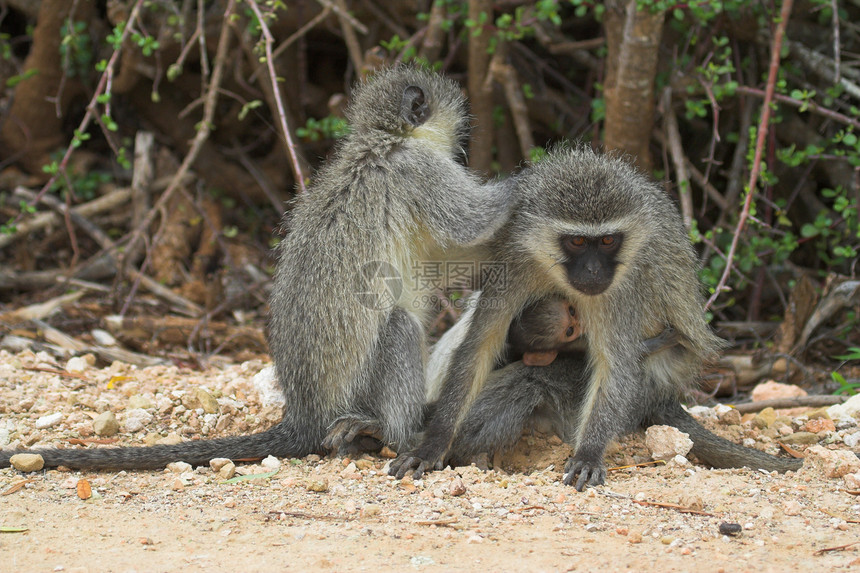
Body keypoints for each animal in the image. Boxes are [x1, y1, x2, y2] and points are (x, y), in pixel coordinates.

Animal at [0, 65, 510, 472]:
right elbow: (473, 222)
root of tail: (304, 415)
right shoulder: (419, 170)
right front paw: (525, 183)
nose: (466, 138)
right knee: (400, 326)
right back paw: (394, 433)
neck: (384, 139)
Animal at [390, 146, 800, 488]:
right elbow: (479, 346)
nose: (592, 272)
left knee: (532, 378)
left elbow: (615, 364)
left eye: (606, 241)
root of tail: (665, 396)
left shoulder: (619, 288)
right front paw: (433, 443)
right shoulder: (514, 261)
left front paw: (587, 454)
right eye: (576, 241)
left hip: (639, 394)